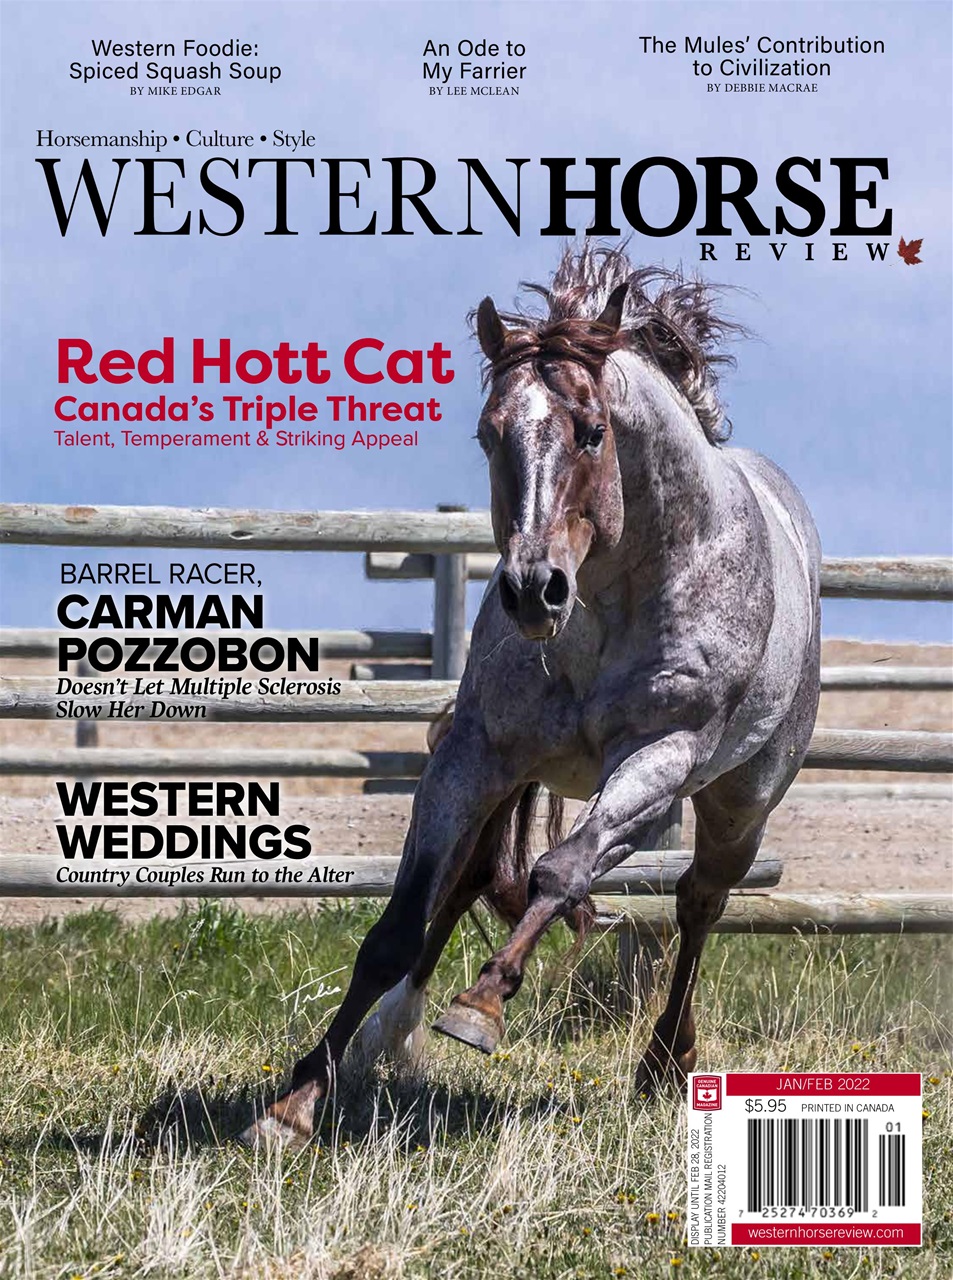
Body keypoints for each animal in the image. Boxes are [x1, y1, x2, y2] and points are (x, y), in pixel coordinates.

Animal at [243, 245, 821, 1148]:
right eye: (488, 434)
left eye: (592, 432)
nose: (530, 591)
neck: (615, 597)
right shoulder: (476, 752)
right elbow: (399, 925)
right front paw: (295, 1103)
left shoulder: (659, 756)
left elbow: (560, 874)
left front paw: (480, 1006)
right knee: (476, 876)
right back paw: (387, 1038)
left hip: (735, 802)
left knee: (696, 903)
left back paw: (664, 1061)